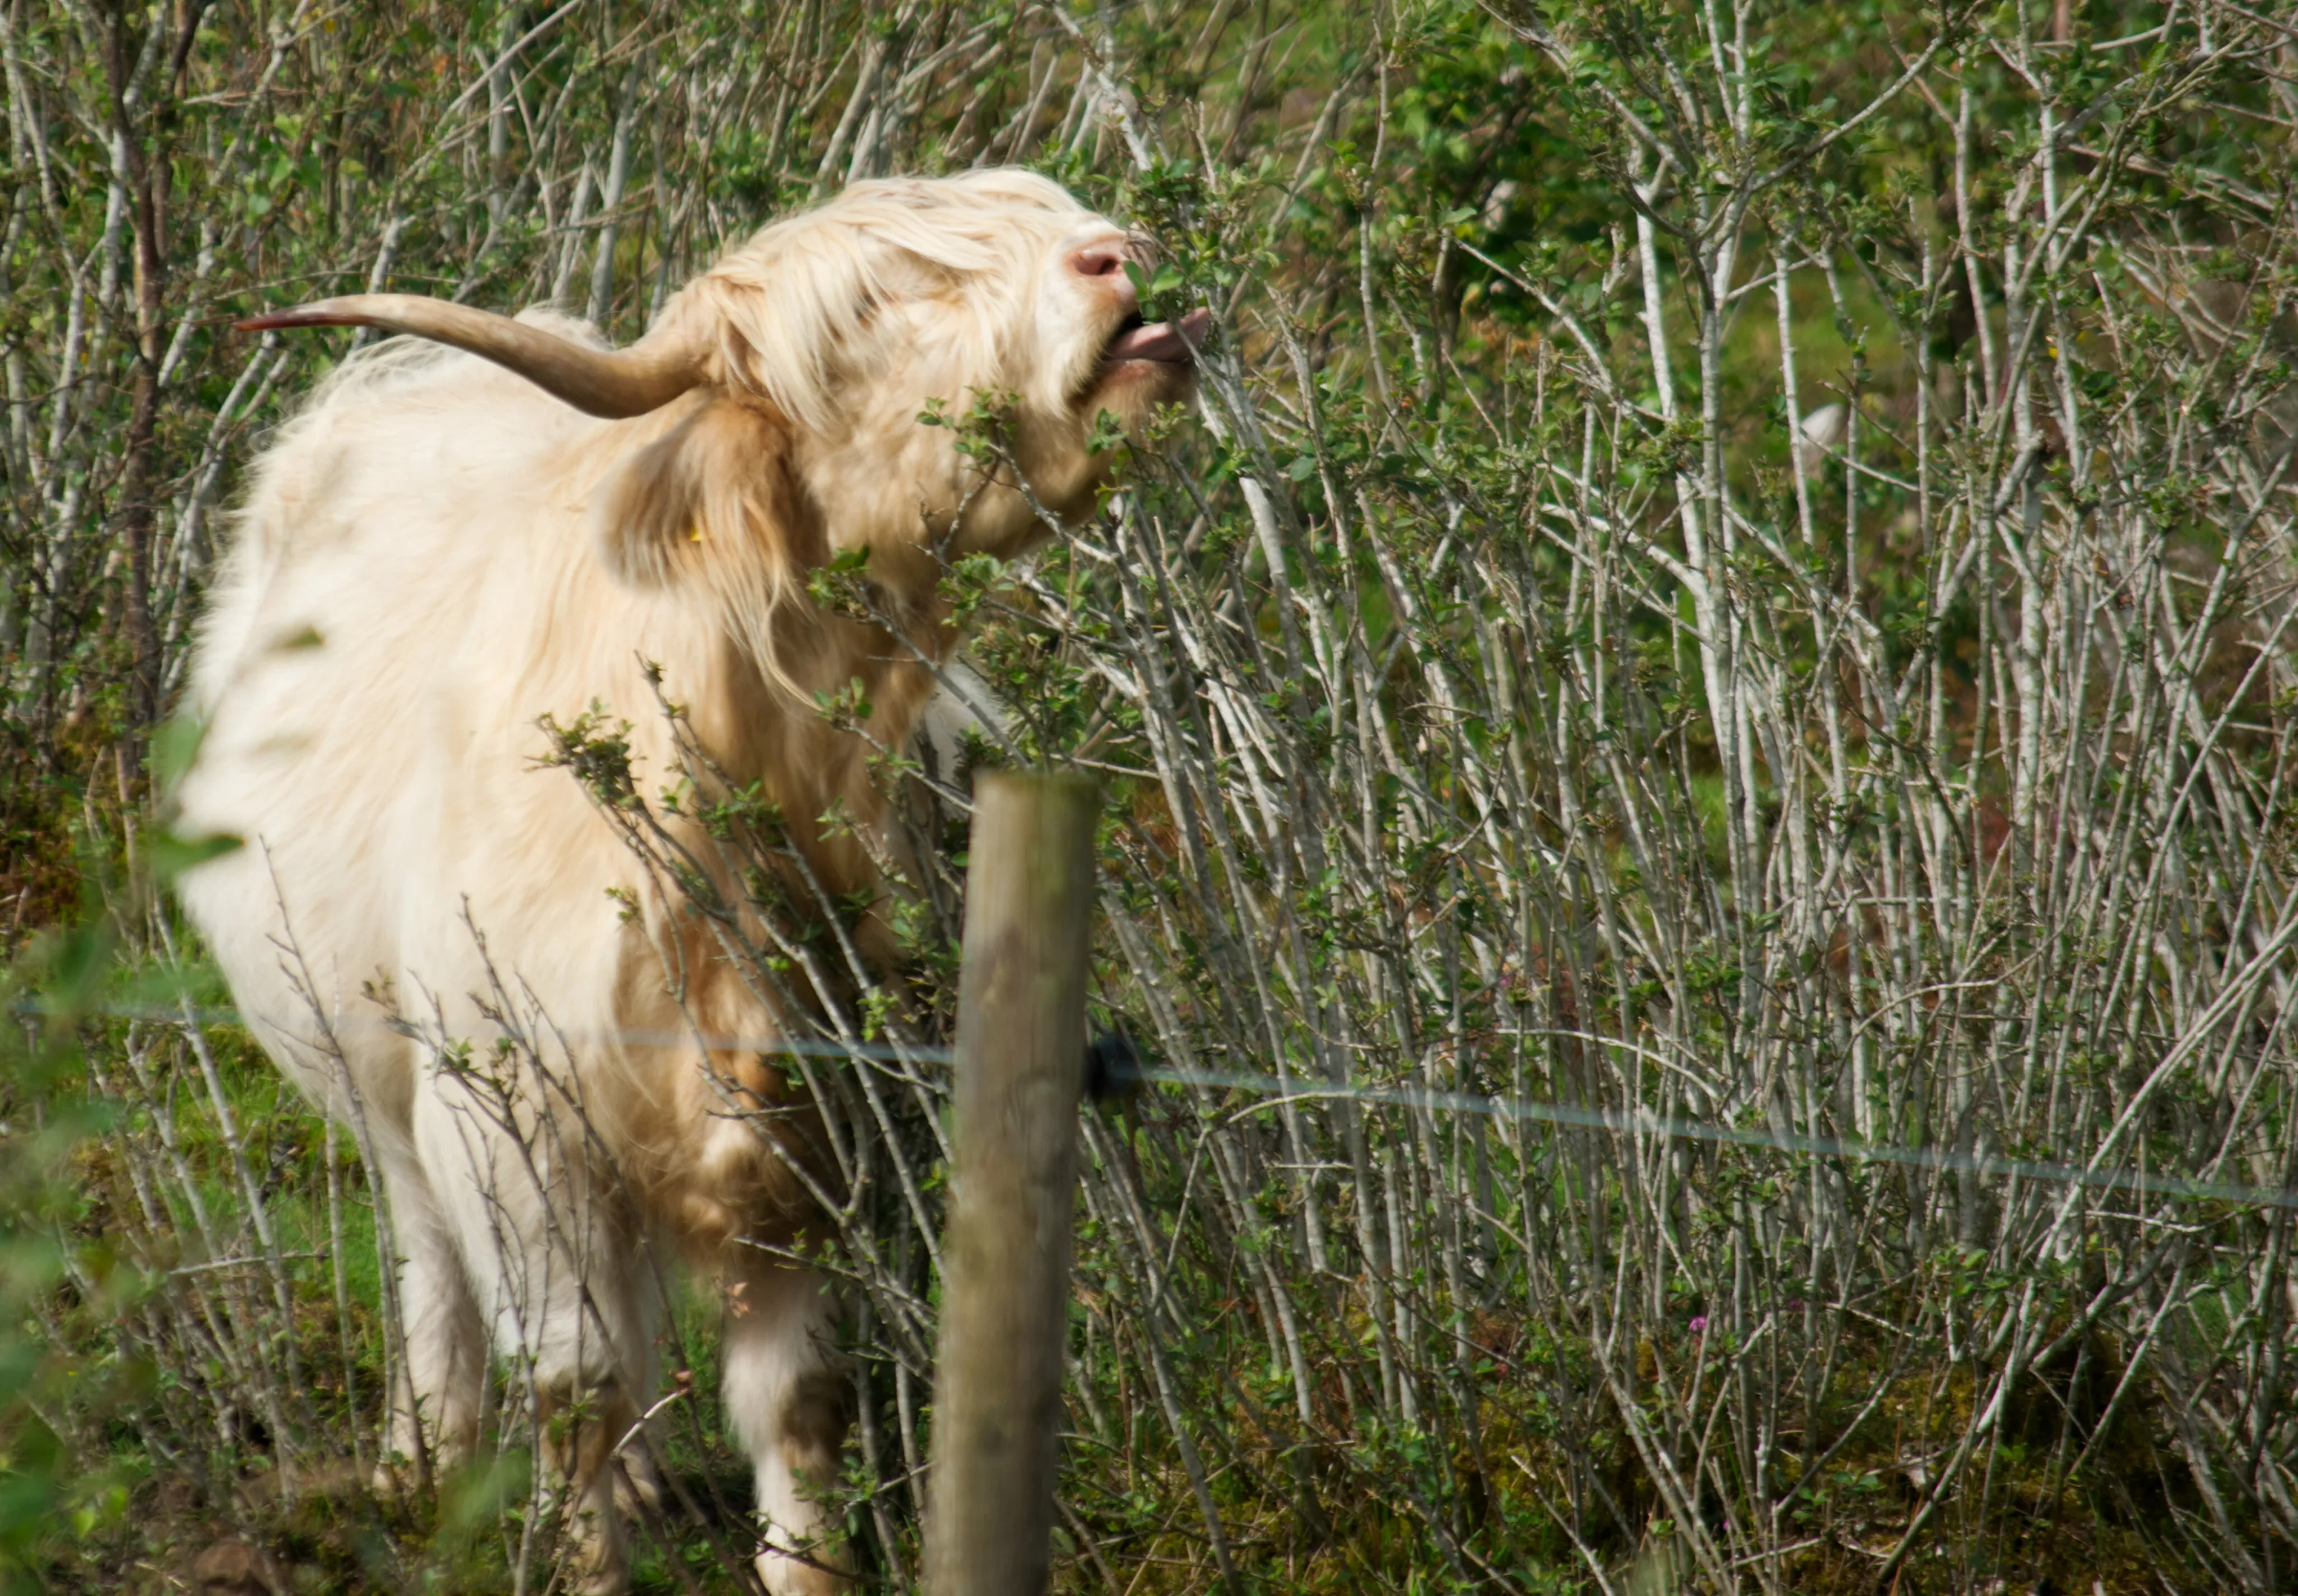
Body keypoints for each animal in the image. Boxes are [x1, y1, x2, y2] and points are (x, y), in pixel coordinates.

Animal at [173, 169, 1207, 1593]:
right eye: (866, 308)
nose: (1113, 254)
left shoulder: (828, 1130)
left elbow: (800, 1398)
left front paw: (798, 1562)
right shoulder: (511, 1117)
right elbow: (573, 1380)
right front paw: (576, 1557)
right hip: (374, 1070)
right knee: (431, 1253)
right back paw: (421, 1460)